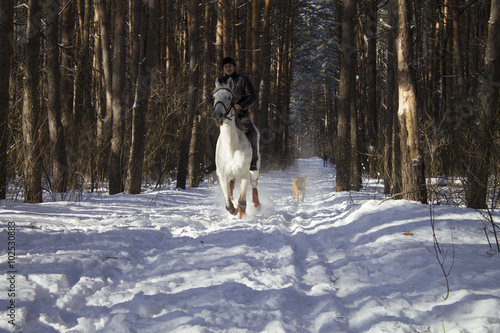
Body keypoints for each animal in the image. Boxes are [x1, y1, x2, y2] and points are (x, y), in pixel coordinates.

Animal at [212, 78, 262, 218]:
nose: (218, 115)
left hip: (255, 170)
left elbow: (242, 202)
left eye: (229, 97)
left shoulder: (244, 175)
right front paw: (233, 211)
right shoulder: (223, 177)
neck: (231, 147)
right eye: (214, 97)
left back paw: (257, 204)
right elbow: (229, 204)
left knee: (254, 183)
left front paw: (242, 217)